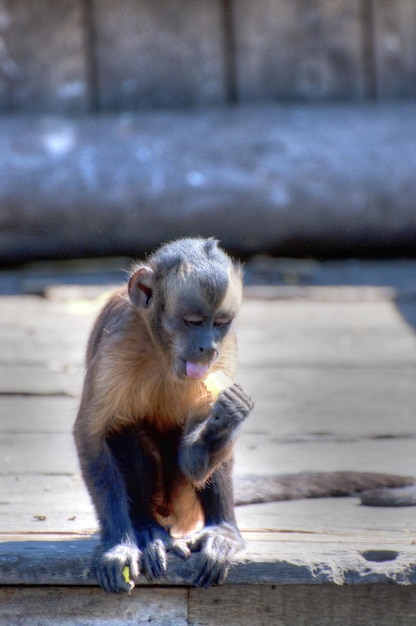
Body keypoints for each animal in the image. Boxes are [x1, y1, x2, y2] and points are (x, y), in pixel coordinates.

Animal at [74, 238, 254, 588]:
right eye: (193, 321)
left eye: (220, 324)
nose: (208, 347)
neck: (162, 351)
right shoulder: (120, 338)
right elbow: (90, 435)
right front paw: (118, 546)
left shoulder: (228, 349)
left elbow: (192, 462)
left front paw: (227, 417)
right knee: (124, 428)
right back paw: (147, 531)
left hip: (186, 505)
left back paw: (222, 531)